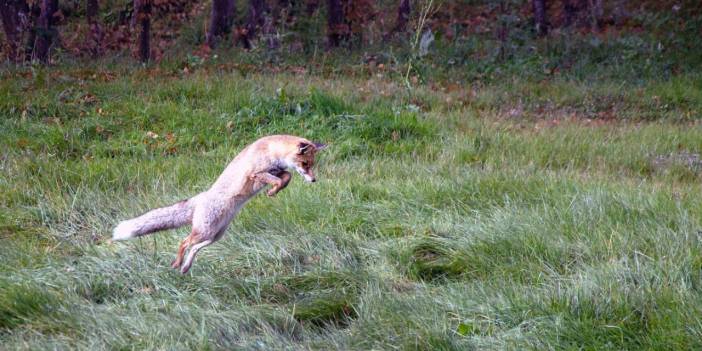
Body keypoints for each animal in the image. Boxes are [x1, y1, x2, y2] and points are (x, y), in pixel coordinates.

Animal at [112, 135, 328, 276]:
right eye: (305, 164)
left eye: (311, 164)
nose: (314, 180)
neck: (272, 151)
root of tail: (201, 197)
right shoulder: (256, 173)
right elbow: (281, 178)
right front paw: (273, 190)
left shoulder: (277, 171)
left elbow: (287, 177)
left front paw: (274, 191)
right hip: (206, 231)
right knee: (184, 242)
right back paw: (178, 263)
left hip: (215, 235)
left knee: (195, 248)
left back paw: (185, 267)